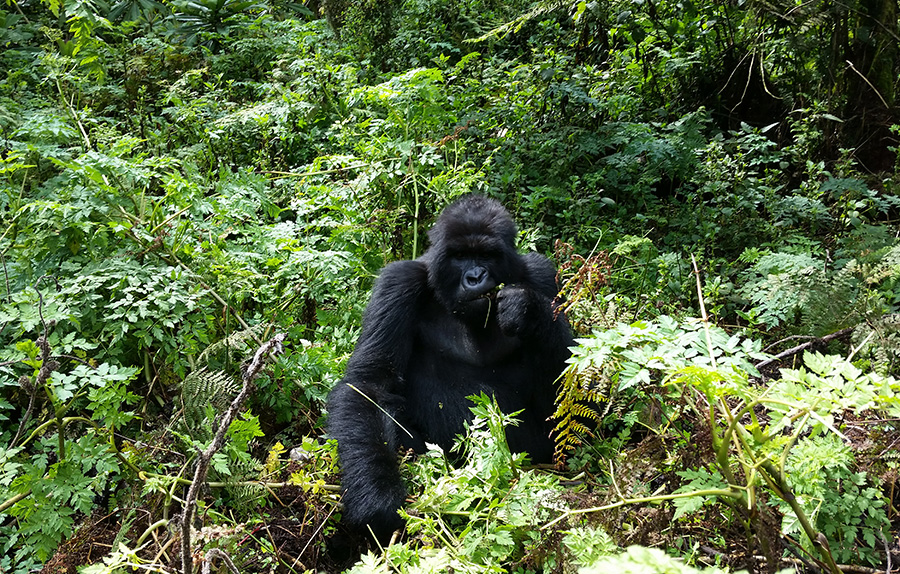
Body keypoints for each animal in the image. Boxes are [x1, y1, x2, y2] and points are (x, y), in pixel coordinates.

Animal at [326, 196, 572, 544]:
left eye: (486, 255)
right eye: (460, 256)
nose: (476, 276)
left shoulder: (542, 274)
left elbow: (569, 383)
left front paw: (528, 311)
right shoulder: (398, 282)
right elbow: (371, 383)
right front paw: (377, 496)